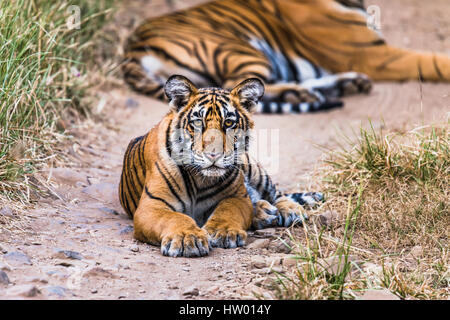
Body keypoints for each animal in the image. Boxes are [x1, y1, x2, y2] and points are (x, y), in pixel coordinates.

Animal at [118, 75, 322, 258]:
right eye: (197, 122)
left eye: (229, 123)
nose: (214, 155)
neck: (199, 179)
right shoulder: (151, 206)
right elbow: (175, 217)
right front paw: (187, 238)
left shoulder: (237, 197)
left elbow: (227, 209)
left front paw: (222, 232)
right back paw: (264, 213)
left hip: (254, 169)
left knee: (276, 193)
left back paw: (289, 210)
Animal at [121, 0, 450, 114]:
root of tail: (131, 47)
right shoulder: (373, 54)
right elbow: (432, 60)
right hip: (240, 49)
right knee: (231, 90)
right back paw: (301, 93)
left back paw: (344, 85)